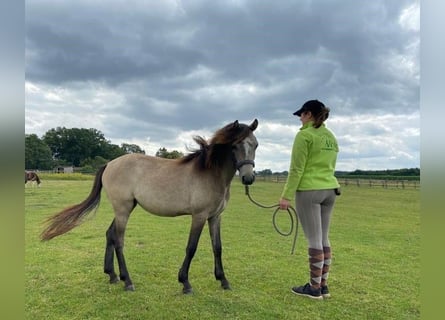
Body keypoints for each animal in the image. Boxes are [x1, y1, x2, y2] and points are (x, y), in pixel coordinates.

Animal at [41, 119, 258, 292]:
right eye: (235, 146)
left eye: (255, 145)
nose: (248, 178)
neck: (209, 172)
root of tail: (110, 164)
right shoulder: (199, 216)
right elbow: (191, 247)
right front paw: (185, 283)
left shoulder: (215, 217)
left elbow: (217, 247)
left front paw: (223, 280)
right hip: (123, 209)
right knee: (118, 240)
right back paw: (127, 281)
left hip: (125, 208)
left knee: (110, 234)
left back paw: (112, 275)